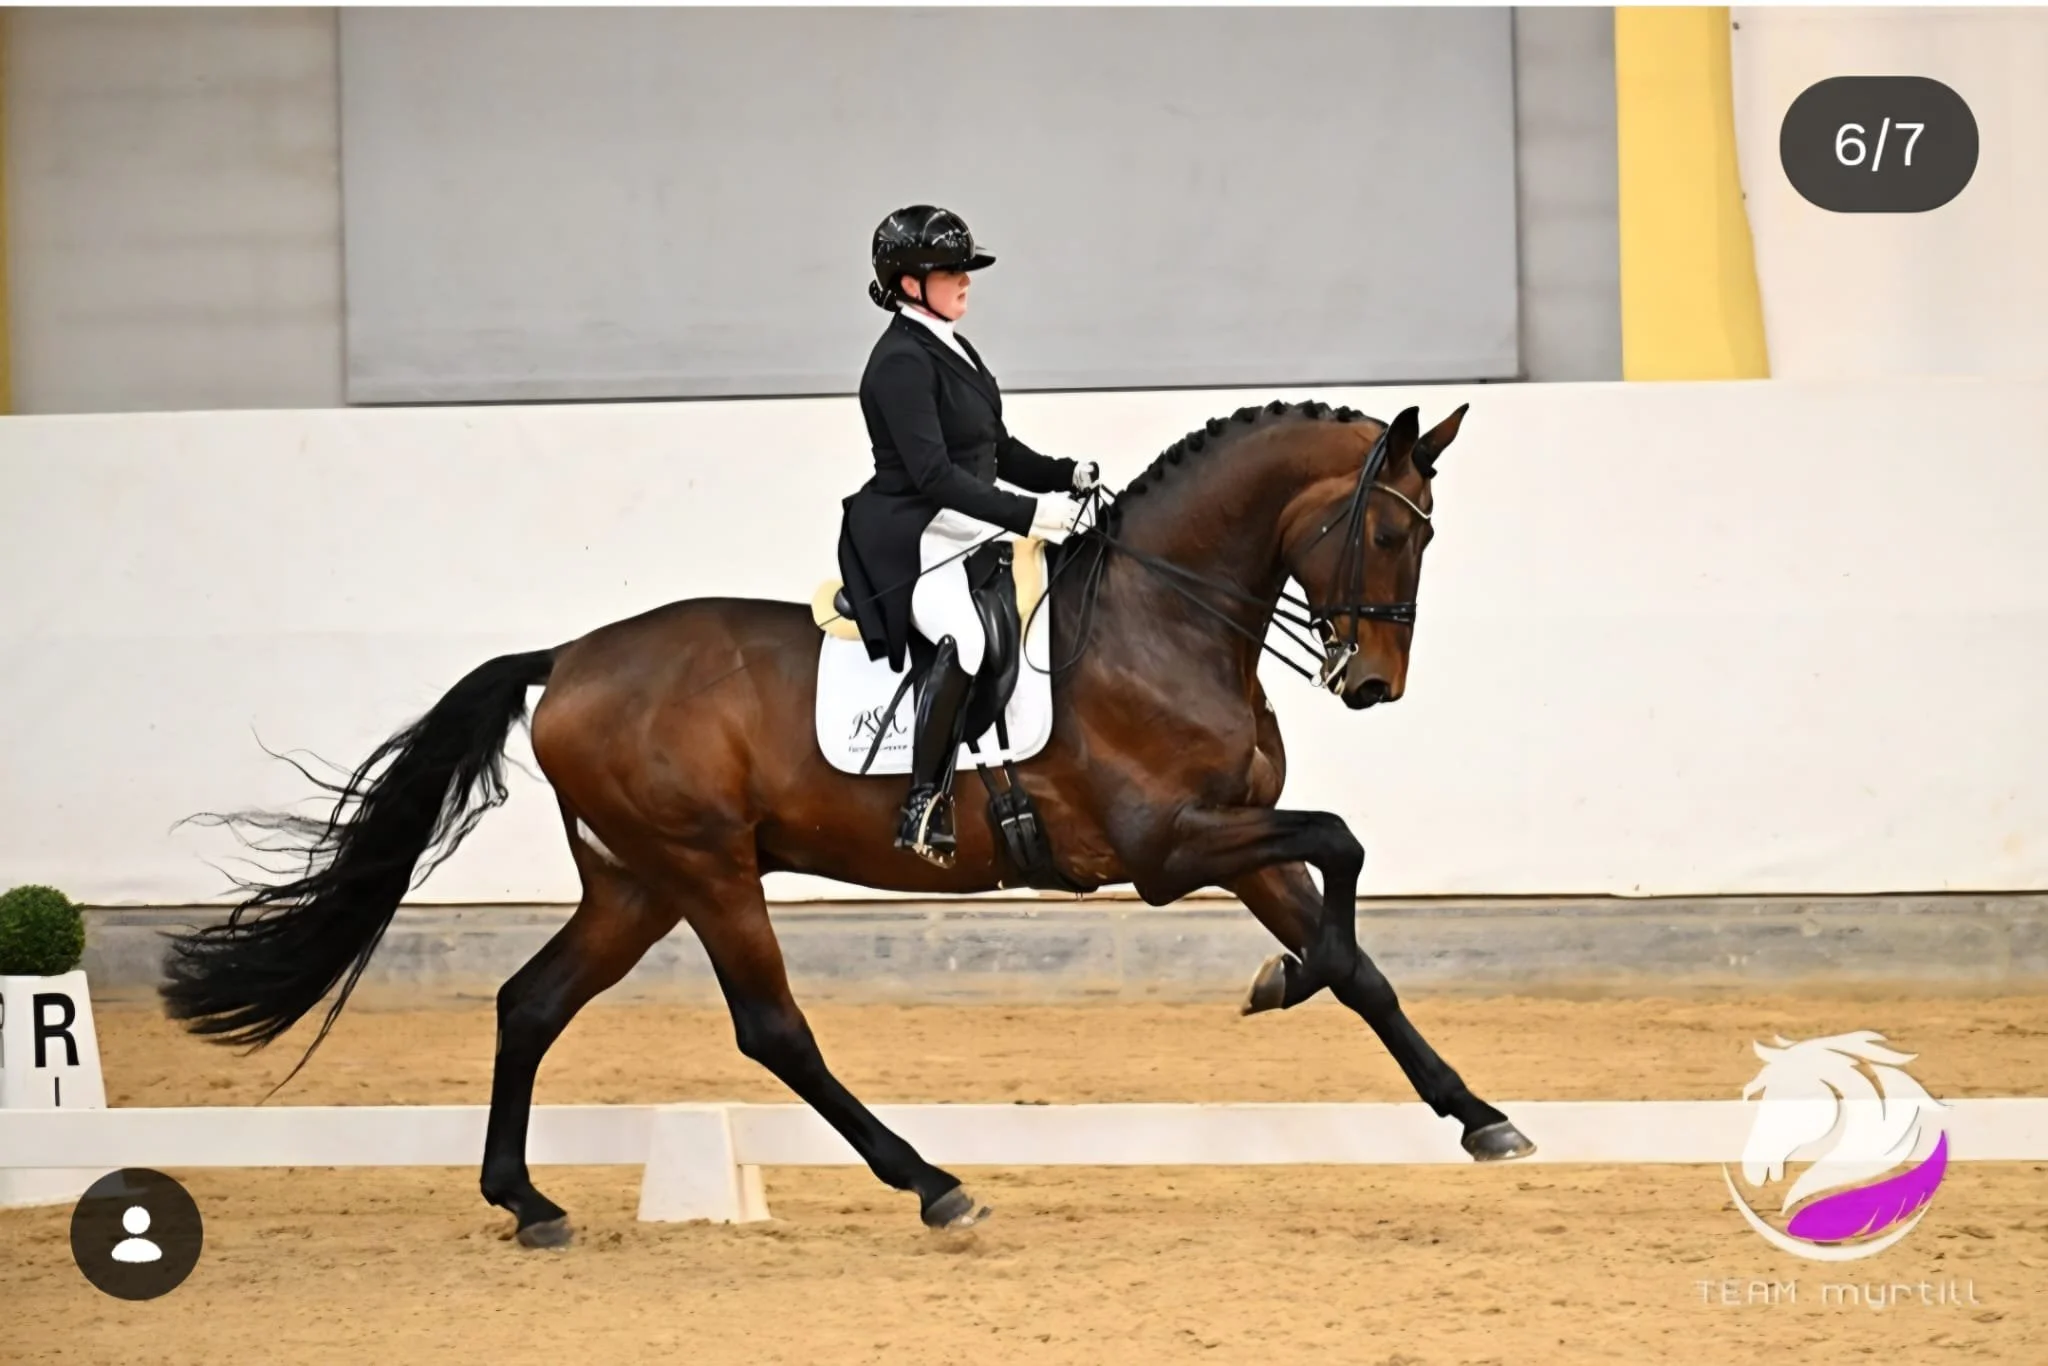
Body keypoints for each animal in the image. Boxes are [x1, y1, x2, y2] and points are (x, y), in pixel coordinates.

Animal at [161, 398, 1535, 1249]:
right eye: (1388, 527)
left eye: (1423, 535)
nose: (1368, 683)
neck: (1166, 617)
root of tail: (569, 659)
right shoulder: (1163, 849)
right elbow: (1344, 846)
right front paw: (1283, 980)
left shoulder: (1234, 830)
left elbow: (1362, 960)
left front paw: (1472, 1111)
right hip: (705, 870)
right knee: (772, 1029)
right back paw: (932, 1184)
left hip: (635, 883)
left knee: (529, 1004)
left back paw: (529, 1203)